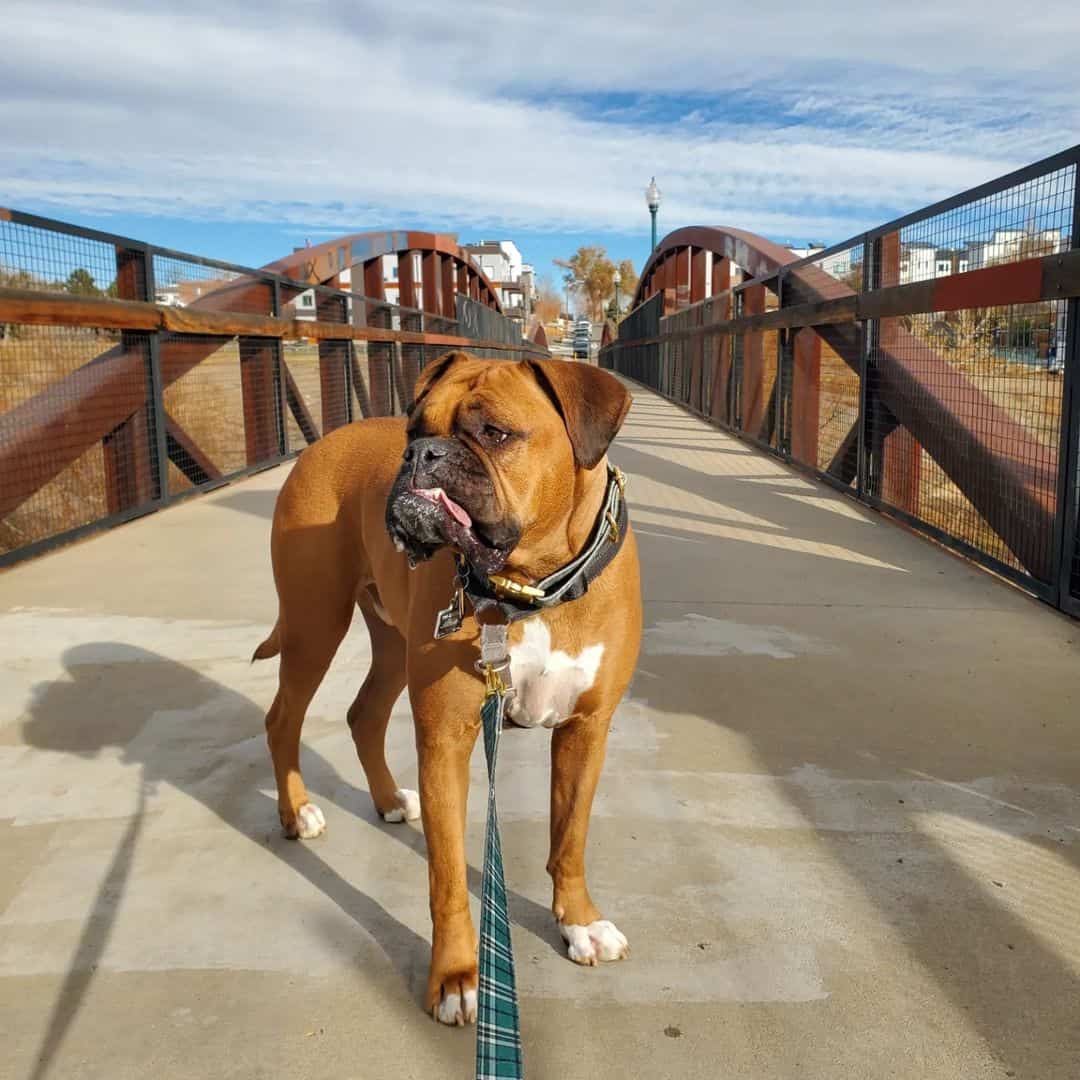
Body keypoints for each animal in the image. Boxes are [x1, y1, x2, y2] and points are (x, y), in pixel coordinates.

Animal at [252, 349, 639, 1023]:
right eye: (414, 428)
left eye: (495, 433)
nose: (420, 455)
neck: (531, 587)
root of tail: (322, 444)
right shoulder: (446, 739)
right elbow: (448, 879)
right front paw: (456, 976)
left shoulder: (586, 730)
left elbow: (570, 837)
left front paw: (580, 923)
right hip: (314, 624)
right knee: (283, 719)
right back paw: (297, 813)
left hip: (390, 642)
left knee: (363, 714)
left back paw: (386, 800)